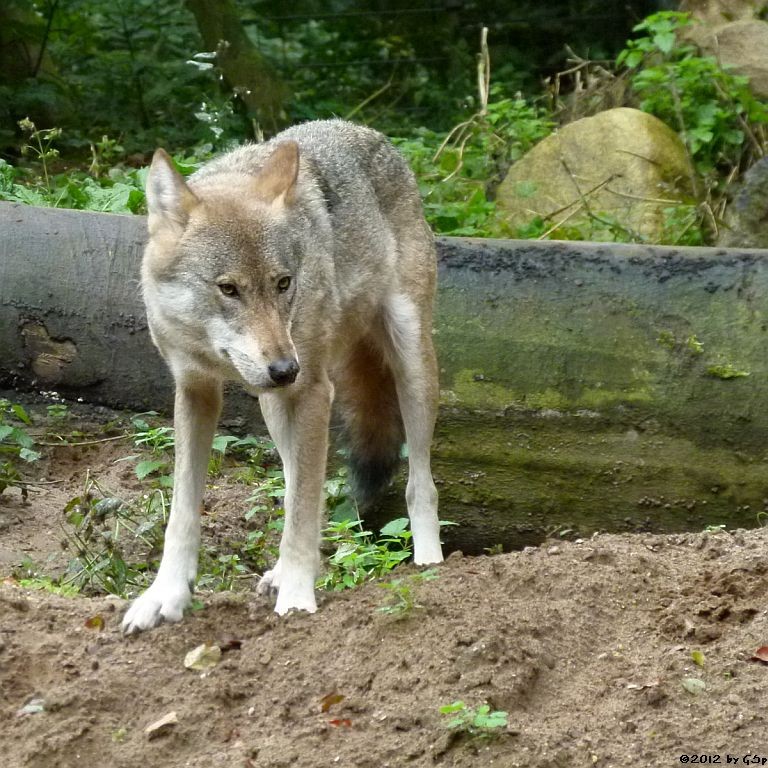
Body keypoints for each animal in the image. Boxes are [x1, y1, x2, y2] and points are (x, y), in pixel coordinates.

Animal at [121, 120, 444, 632]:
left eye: (283, 283)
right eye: (228, 289)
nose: (286, 368)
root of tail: (368, 133)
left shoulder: (313, 392)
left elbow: (302, 510)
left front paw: (296, 596)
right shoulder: (194, 391)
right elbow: (183, 511)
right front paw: (165, 595)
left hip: (410, 367)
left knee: (419, 486)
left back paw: (430, 566)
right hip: (273, 406)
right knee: (298, 483)